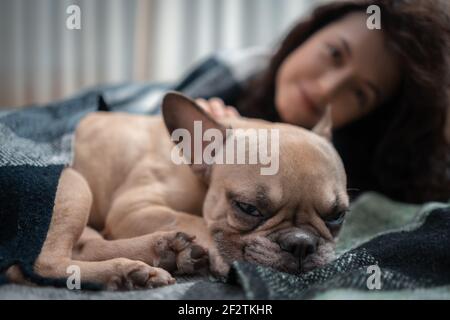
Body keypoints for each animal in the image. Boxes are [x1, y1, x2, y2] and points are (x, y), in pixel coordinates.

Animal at [9, 92, 348, 290]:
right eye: (247, 208)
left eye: (338, 216)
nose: (301, 244)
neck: (199, 172)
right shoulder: (133, 208)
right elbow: (193, 220)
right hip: (74, 185)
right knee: (46, 262)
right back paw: (126, 269)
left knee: (82, 246)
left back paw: (157, 255)